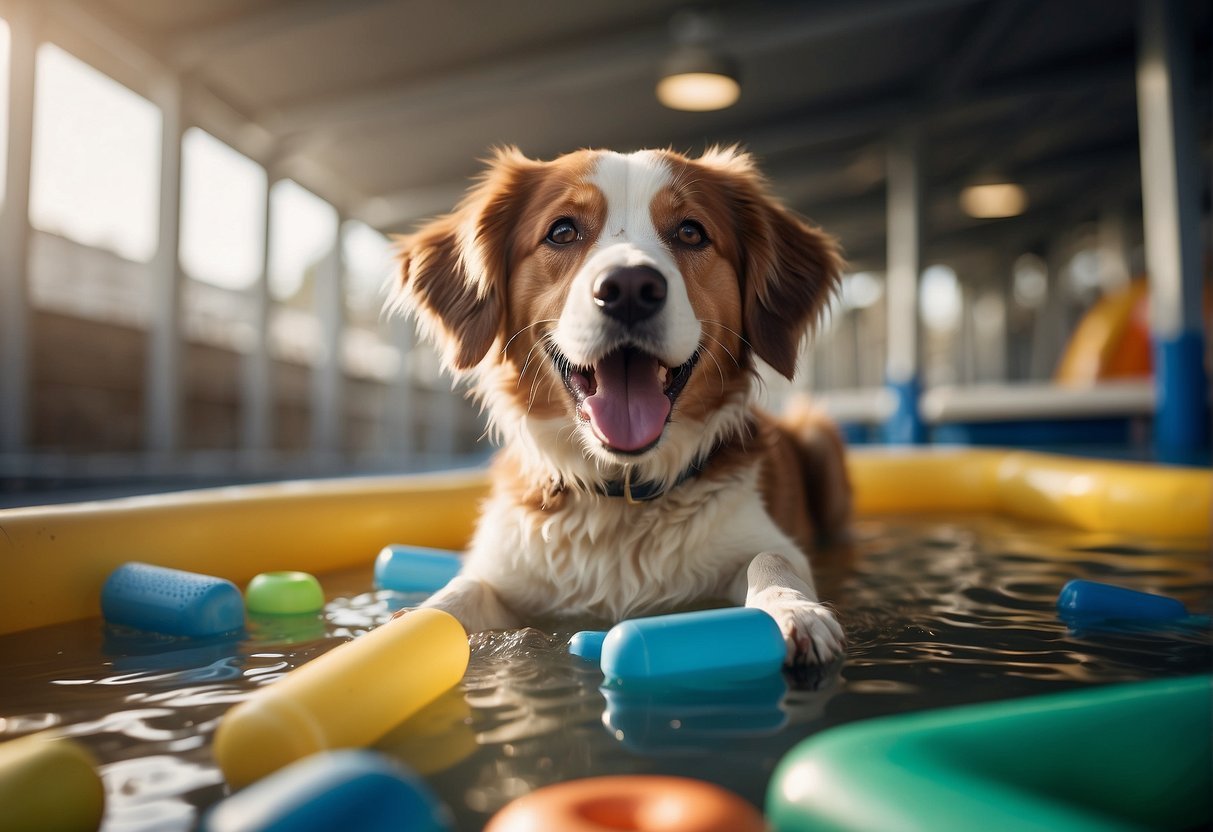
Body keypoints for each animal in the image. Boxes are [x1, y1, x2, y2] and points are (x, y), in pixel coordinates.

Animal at [393, 143, 849, 664]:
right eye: (562, 231)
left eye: (691, 232)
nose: (630, 288)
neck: (619, 497)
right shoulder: (506, 569)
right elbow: (461, 592)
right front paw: (408, 628)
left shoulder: (761, 540)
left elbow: (770, 557)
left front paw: (793, 610)